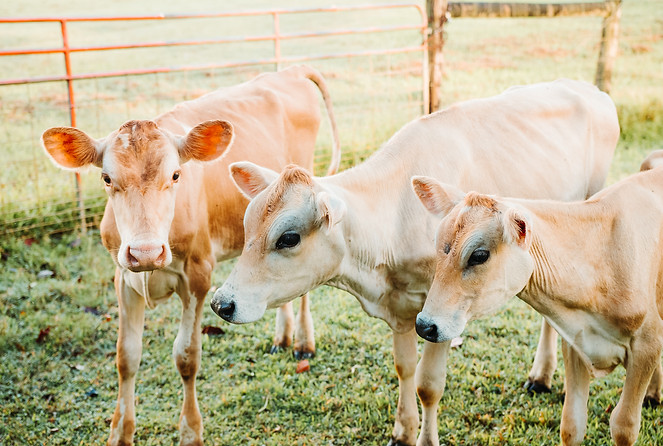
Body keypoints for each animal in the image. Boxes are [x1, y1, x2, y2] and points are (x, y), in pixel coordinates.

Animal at [41, 65, 341, 446]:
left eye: (175, 175)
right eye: (107, 179)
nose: (146, 252)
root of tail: (290, 71)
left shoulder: (199, 275)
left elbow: (187, 357)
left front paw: (191, 432)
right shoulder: (122, 277)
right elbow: (126, 357)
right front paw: (120, 433)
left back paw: (303, 342)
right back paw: (283, 337)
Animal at [209, 79, 619, 445]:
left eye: (289, 237)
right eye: (247, 226)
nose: (221, 303)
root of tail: (590, 89)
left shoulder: (441, 312)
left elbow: (428, 385)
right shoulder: (402, 307)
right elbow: (404, 368)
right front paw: (403, 431)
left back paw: (541, 373)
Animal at [411, 159, 663, 445]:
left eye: (479, 255)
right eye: (437, 245)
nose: (424, 325)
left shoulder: (647, 344)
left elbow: (623, 426)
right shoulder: (575, 341)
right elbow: (572, 425)